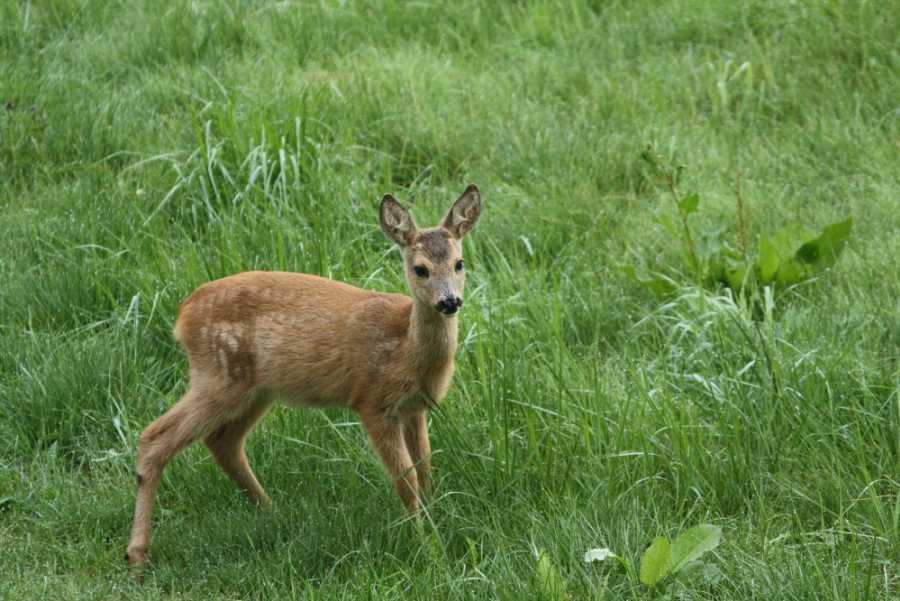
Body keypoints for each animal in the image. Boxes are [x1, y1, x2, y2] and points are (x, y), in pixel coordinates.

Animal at [125, 185, 482, 568]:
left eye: (459, 263)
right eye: (420, 269)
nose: (450, 302)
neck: (405, 349)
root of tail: (181, 316)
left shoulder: (415, 406)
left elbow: (425, 466)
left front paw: (434, 520)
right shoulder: (371, 400)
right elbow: (406, 477)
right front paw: (424, 542)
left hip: (256, 389)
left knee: (223, 442)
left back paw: (272, 512)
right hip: (219, 374)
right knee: (155, 436)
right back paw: (137, 555)